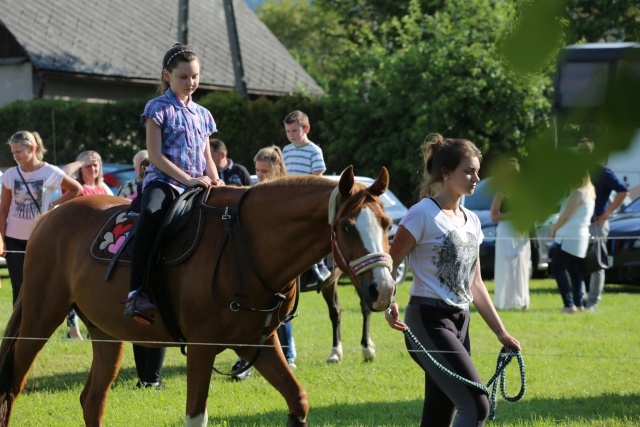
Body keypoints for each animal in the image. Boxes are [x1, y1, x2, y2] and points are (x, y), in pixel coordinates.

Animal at [0, 166, 392, 427]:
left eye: (387, 224)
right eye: (347, 227)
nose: (384, 289)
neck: (244, 244)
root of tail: (49, 217)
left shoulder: (259, 343)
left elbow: (298, 400)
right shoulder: (203, 348)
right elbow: (196, 416)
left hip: (106, 333)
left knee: (91, 400)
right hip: (40, 317)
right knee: (12, 387)